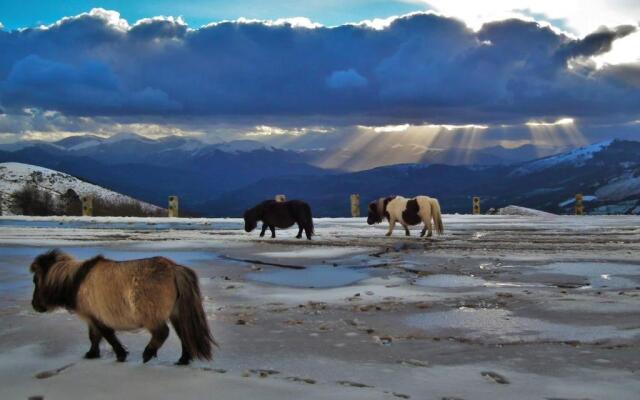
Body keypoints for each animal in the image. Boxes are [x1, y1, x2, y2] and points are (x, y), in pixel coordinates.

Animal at [30, 250, 216, 366]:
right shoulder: (93, 317)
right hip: (176, 314)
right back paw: (182, 360)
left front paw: (120, 355)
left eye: (36, 280)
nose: (35, 305)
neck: (76, 280)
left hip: (152, 316)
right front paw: (92, 354)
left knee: (162, 332)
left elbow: (107, 335)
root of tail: (173, 268)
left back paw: (147, 354)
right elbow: (94, 337)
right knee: (184, 334)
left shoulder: (96, 317)